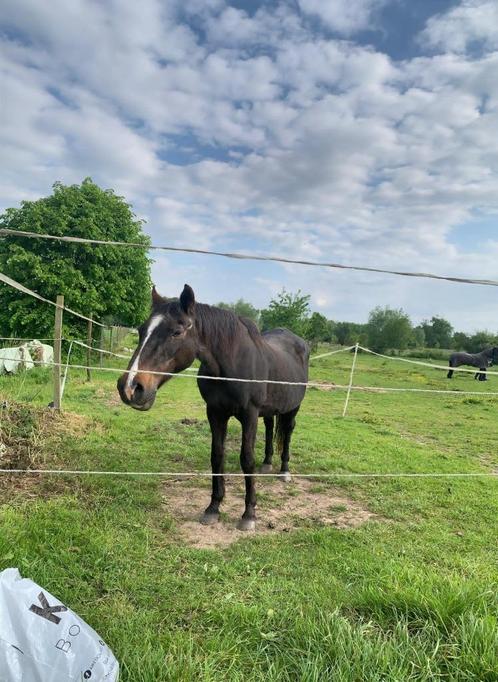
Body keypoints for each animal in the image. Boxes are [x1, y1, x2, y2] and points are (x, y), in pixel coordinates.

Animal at [118, 284, 310, 528]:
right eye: (142, 330)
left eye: (176, 332)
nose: (130, 387)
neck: (231, 365)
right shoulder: (215, 413)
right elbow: (217, 456)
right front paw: (213, 508)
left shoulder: (249, 414)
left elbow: (247, 460)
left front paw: (249, 514)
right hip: (269, 411)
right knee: (269, 428)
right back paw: (267, 464)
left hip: (294, 407)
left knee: (288, 432)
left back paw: (284, 470)